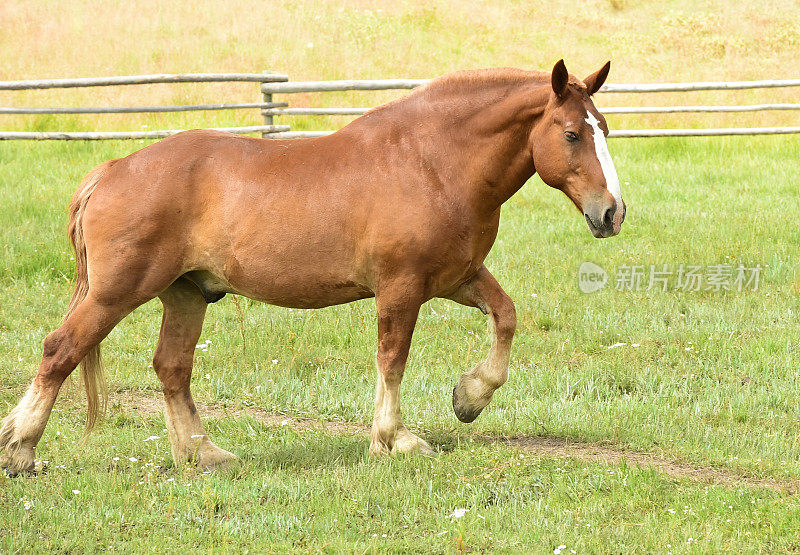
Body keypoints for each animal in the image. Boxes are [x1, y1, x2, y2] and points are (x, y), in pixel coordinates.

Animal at [0, 60, 624, 478]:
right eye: (572, 133)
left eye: (604, 129)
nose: (611, 212)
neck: (431, 162)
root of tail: (111, 170)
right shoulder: (402, 288)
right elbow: (392, 360)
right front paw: (393, 440)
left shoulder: (456, 278)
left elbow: (506, 317)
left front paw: (469, 398)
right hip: (116, 293)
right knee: (60, 351)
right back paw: (23, 450)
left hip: (185, 294)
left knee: (172, 369)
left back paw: (203, 453)